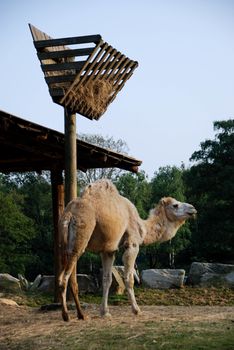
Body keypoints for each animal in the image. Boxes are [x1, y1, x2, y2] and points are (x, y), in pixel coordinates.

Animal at [57, 179, 197, 322]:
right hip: (81, 236)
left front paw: (105, 312)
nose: (193, 209)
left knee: (69, 277)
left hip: (64, 244)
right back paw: (67, 315)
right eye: (175, 205)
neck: (143, 228)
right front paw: (136, 310)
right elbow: (129, 278)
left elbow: (107, 279)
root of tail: (68, 214)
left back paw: (81, 314)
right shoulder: (132, 244)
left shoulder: (108, 250)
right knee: (64, 277)